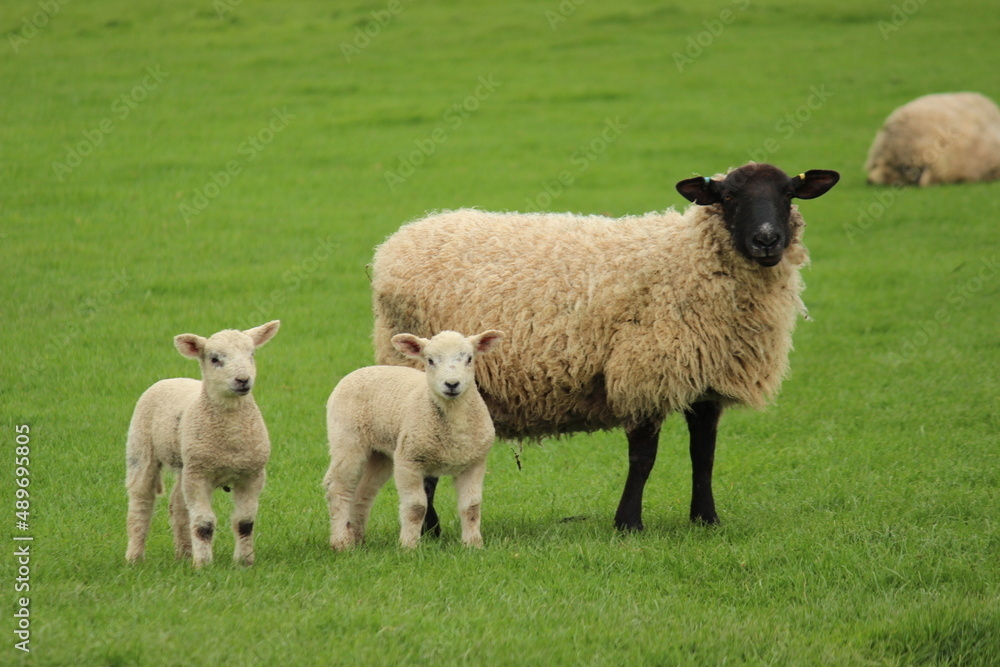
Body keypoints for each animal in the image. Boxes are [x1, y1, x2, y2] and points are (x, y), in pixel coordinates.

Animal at [125, 320, 280, 568]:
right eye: (215, 359)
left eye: (252, 354)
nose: (243, 380)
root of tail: (172, 379)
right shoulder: (200, 475)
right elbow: (204, 524)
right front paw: (204, 564)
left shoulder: (252, 474)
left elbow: (244, 522)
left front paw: (244, 562)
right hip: (141, 447)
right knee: (141, 503)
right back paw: (134, 557)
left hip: (186, 464)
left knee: (178, 507)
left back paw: (184, 554)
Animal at [324, 329, 504, 550]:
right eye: (430, 360)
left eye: (469, 358)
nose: (452, 384)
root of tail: (361, 370)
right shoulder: (408, 462)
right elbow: (416, 507)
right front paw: (409, 546)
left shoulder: (474, 463)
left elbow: (471, 507)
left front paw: (473, 544)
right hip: (347, 438)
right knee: (338, 488)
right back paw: (341, 543)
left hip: (380, 453)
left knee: (363, 493)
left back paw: (357, 539)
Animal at [370, 163, 839, 533]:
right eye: (727, 196)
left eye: (788, 193)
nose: (767, 240)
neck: (689, 260)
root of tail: (398, 241)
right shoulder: (642, 370)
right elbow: (643, 458)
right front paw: (629, 523)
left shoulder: (706, 379)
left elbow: (703, 454)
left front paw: (706, 519)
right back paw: (430, 531)